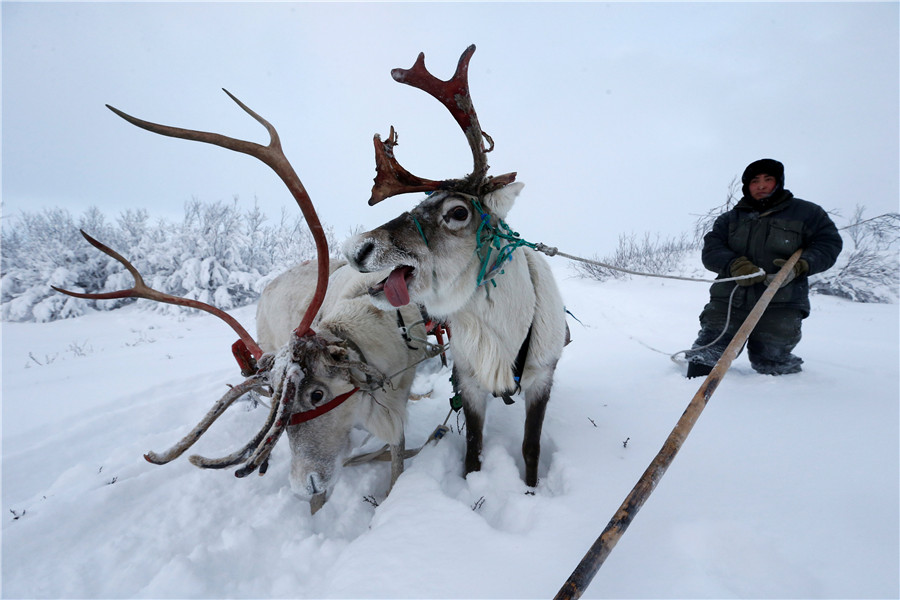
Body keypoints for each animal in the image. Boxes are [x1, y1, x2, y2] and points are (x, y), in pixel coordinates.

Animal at [344, 45, 569, 489]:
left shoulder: (541, 377)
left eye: (458, 211)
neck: (504, 333)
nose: (356, 248)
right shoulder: (469, 381)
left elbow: (531, 447)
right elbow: (473, 448)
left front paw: (531, 489)